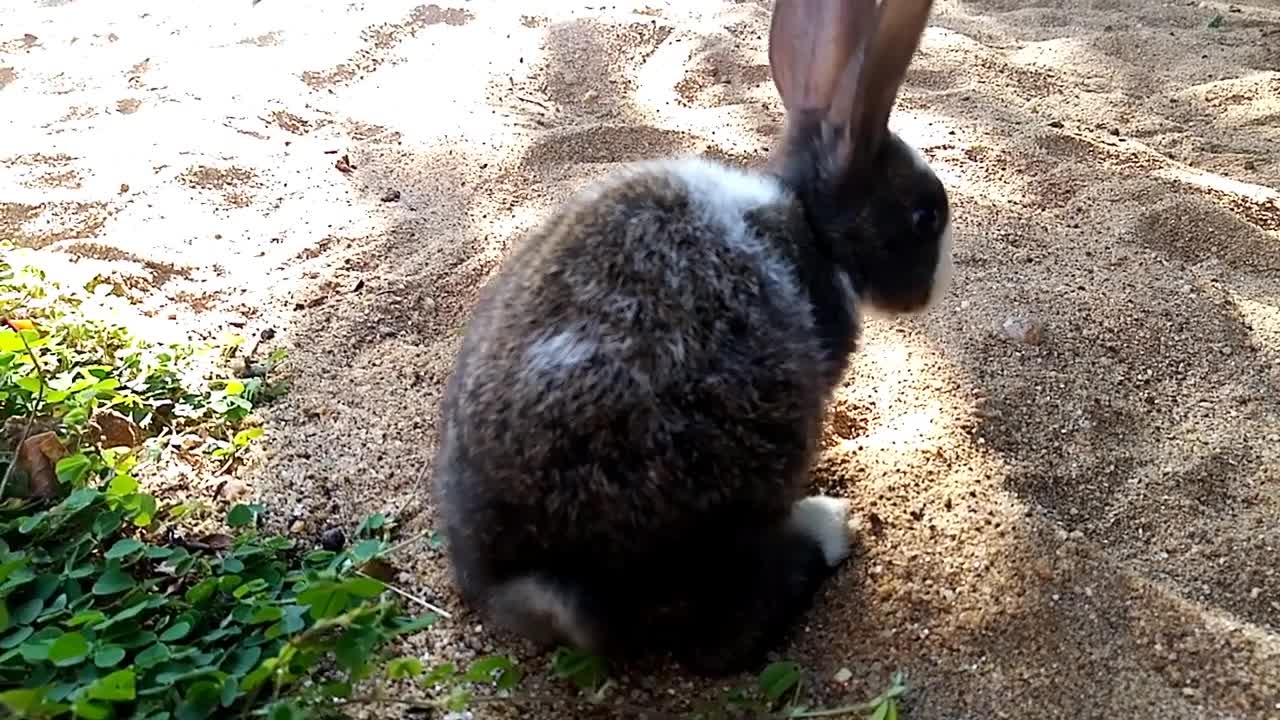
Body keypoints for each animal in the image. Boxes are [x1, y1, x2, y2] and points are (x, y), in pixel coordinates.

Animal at [430, 0, 952, 676]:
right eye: (924, 217)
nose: (933, 287)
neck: (810, 225)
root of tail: (528, 581)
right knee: (723, 631)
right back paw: (830, 527)